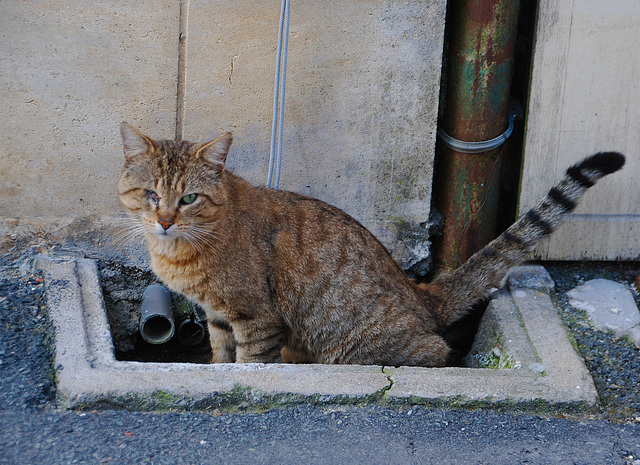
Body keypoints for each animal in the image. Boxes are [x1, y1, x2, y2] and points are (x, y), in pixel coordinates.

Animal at [116, 122, 624, 366]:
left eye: (188, 198)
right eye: (150, 194)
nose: (164, 220)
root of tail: (421, 293)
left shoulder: (256, 317)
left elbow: (249, 362)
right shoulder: (220, 316)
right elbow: (221, 356)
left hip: (358, 342)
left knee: (437, 353)